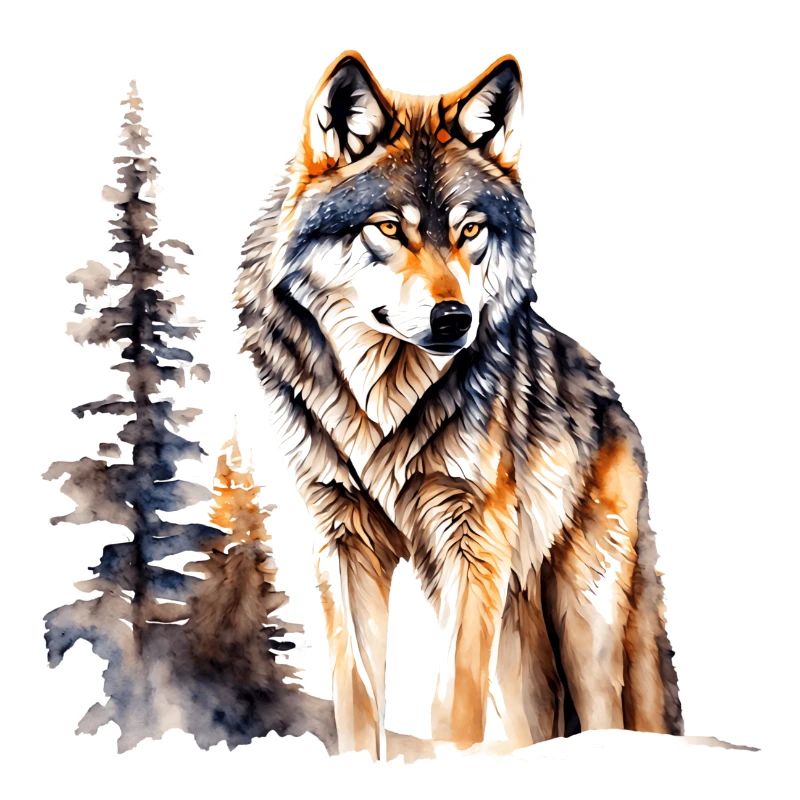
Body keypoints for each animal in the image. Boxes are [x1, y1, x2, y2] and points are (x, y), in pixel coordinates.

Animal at [236, 51, 683, 758]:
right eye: (389, 229)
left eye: (470, 230)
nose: (455, 319)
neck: (382, 404)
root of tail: (612, 397)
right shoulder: (343, 540)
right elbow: (358, 696)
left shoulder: (471, 542)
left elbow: (453, 704)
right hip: (518, 639)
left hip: (585, 615)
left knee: (608, 712)